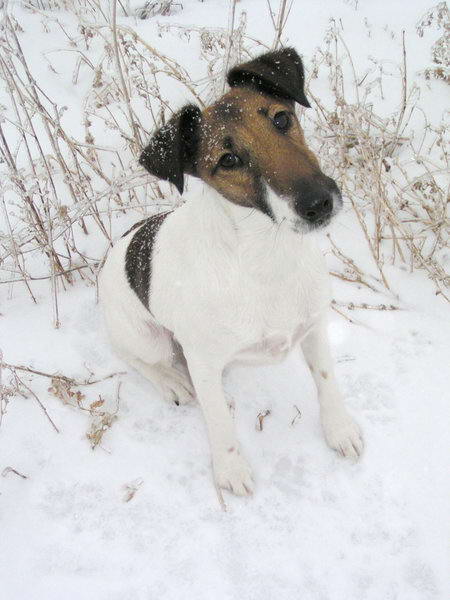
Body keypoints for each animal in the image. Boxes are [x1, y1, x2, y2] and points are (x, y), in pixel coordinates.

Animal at [98, 48, 362, 496]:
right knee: (132, 355)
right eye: (229, 160)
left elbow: (326, 380)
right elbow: (219, 422)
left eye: (281, 119)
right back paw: (172, 381)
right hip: (147, 338)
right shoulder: (204, 362)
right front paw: (230, 469)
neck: (268, 254)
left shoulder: (313, 326)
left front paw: (340, 429)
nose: (318, 203)